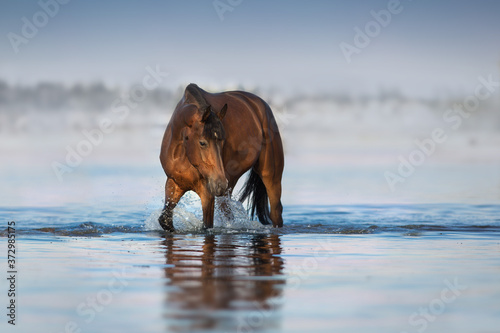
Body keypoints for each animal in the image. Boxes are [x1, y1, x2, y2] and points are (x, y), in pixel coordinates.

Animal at [158, 83, 284, 231]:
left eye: (223, 141)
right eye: (202, 142)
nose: (220, 184)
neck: (184, 154)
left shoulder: (207, 193)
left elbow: (207, 226)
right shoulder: (174, 183)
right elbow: (165, 220)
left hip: (270, 176)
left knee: (276, 211)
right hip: (228, 186)